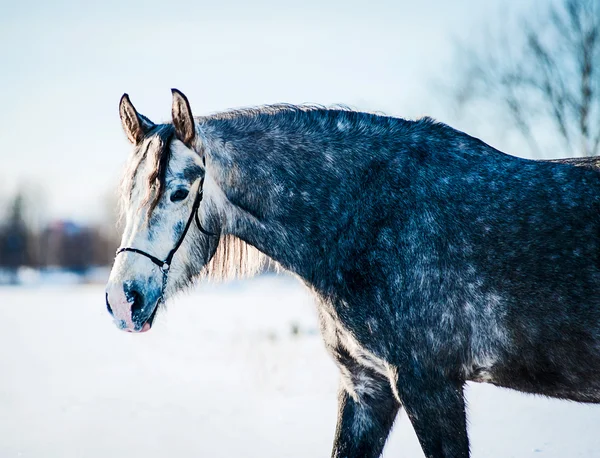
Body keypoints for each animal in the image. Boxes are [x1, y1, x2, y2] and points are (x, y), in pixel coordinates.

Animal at [105, 89, 600, 458]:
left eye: (179, 192)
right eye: (127, 192)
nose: (122, 301)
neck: (370, 219)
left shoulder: (430, 387)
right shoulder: (367, 387)